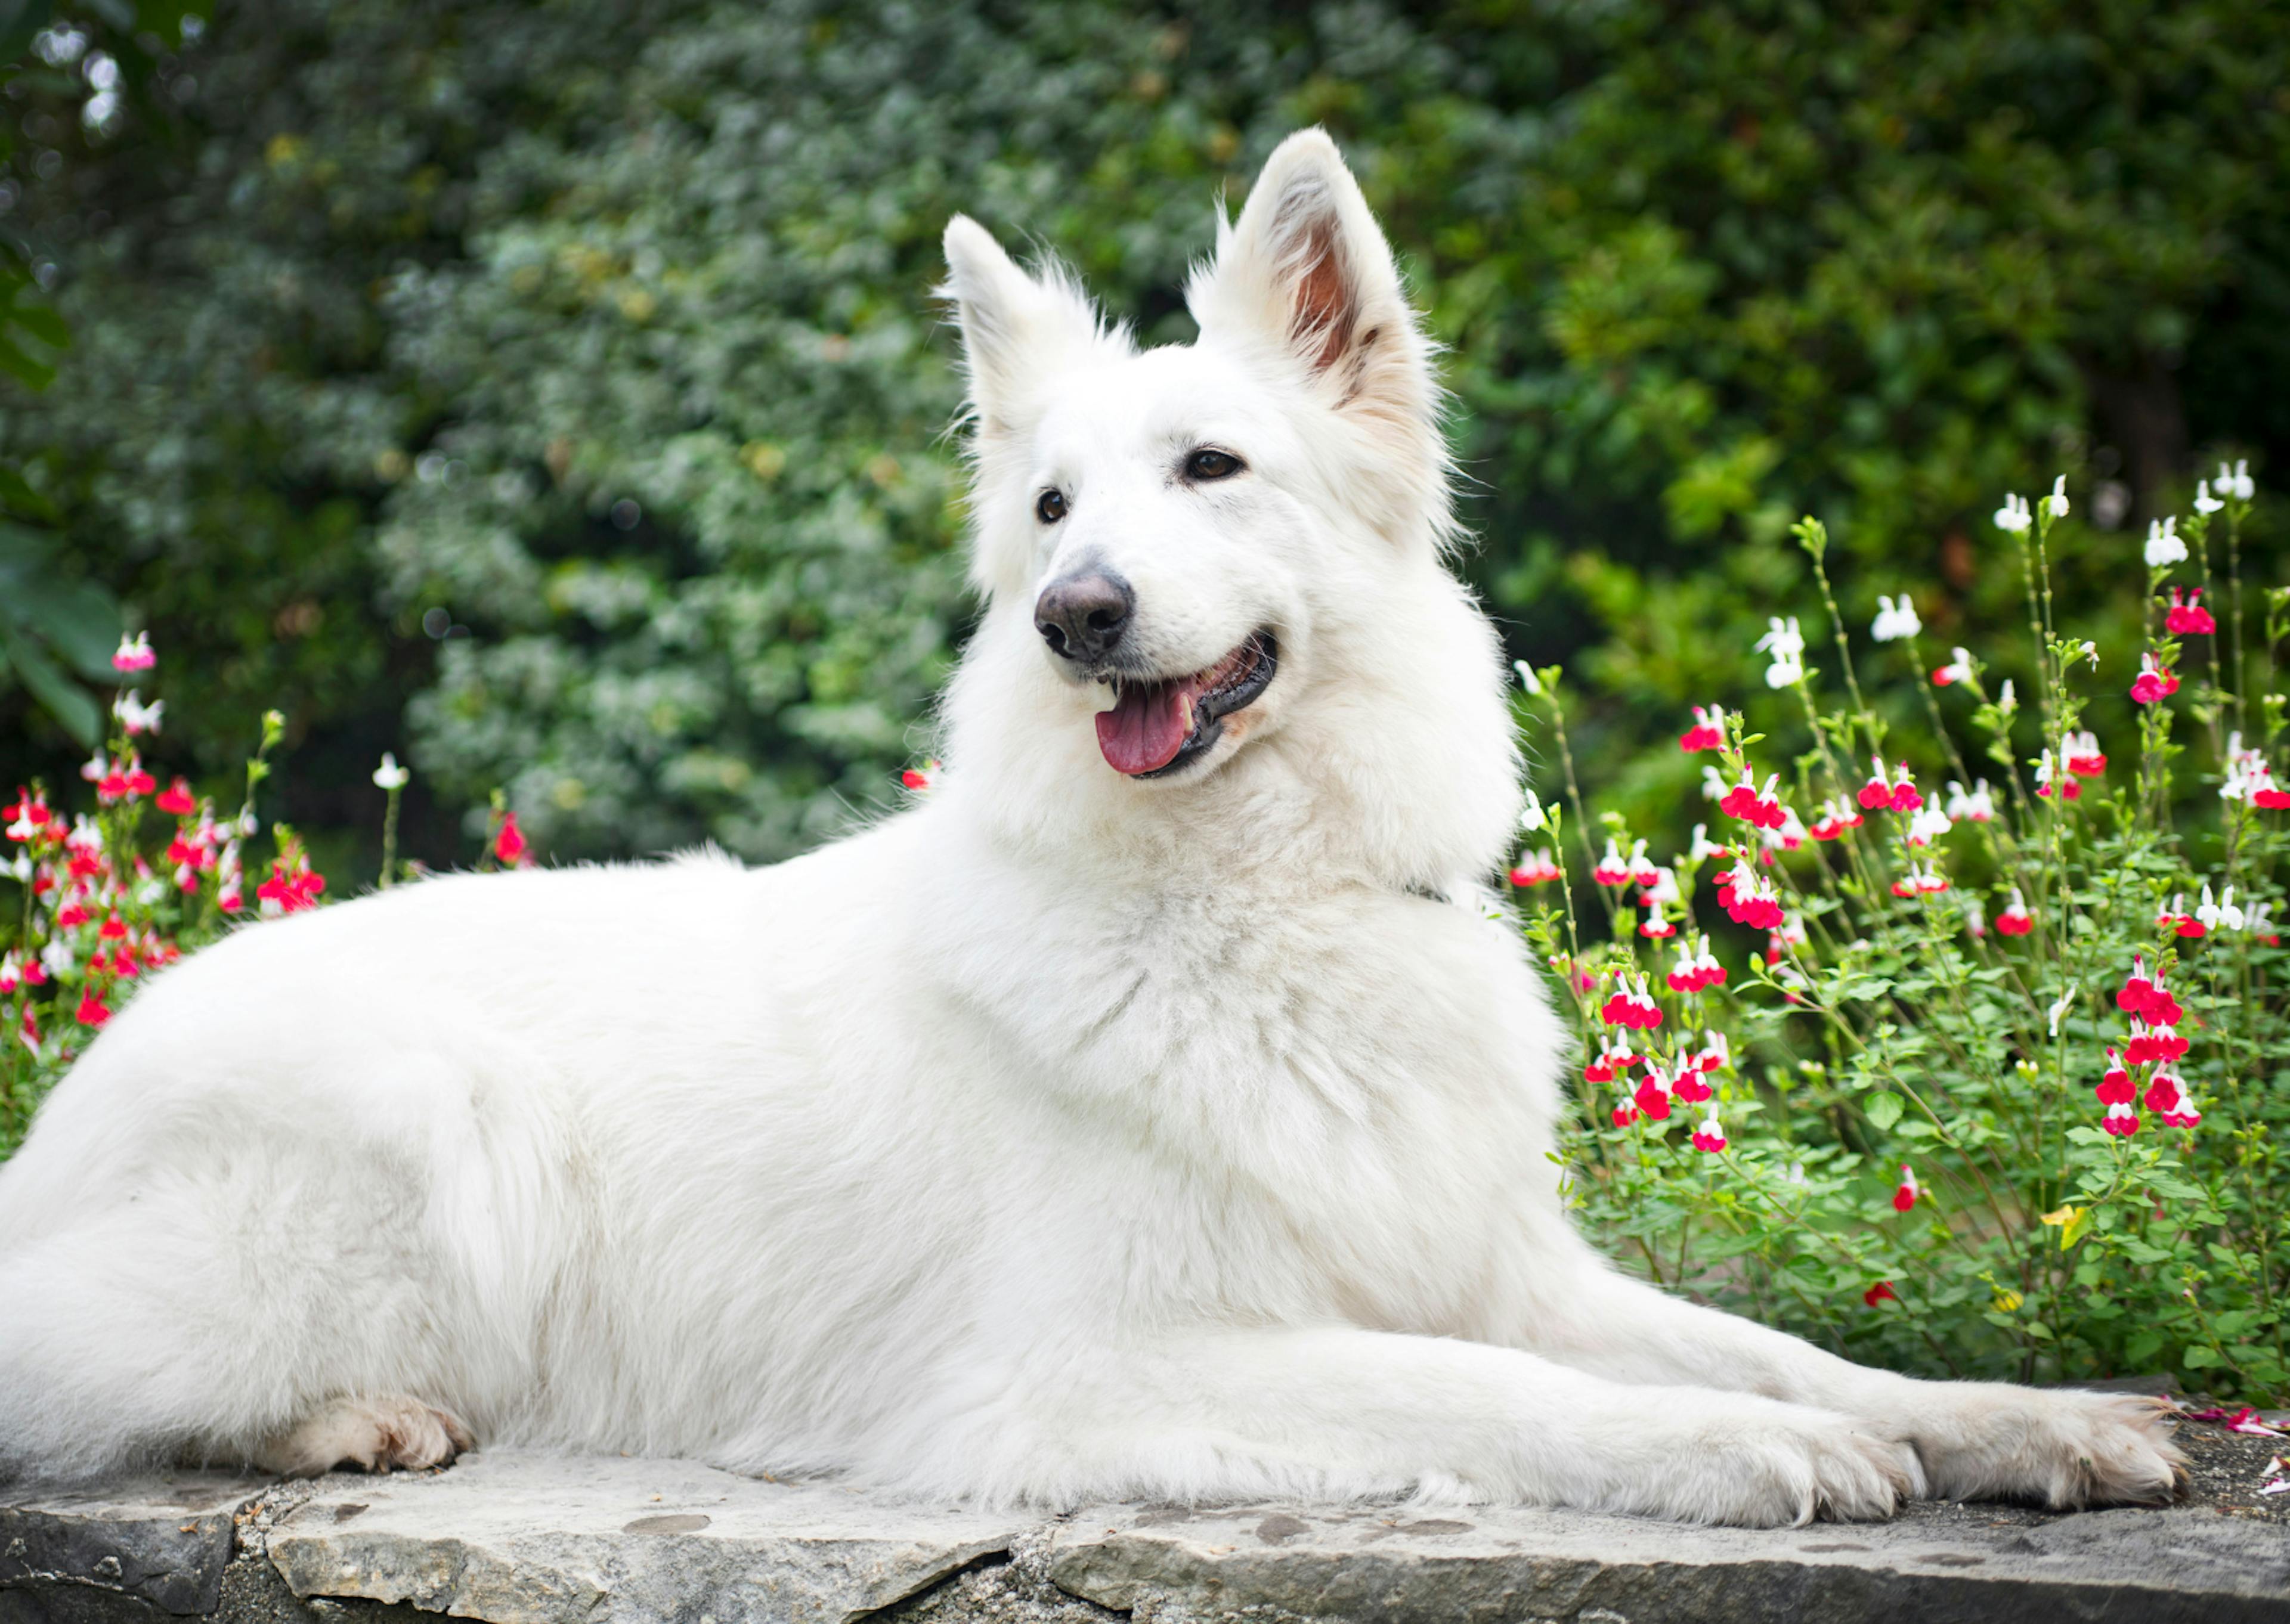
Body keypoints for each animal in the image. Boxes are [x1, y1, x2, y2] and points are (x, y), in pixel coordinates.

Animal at [0, 126, 2180, 1521]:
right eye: (1050, 509)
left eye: (1211, 467)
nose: (1077, 616)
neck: (1262, 900)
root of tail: (77, 1089)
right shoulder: (1119, 1363)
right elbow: (1511, 1392)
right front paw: (1739, 1461)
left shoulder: (1492, 1264)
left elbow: (1782, 1346)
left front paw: (2026, 1417)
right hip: (432, 1135)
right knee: (80, 1388)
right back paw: (341, 1420)